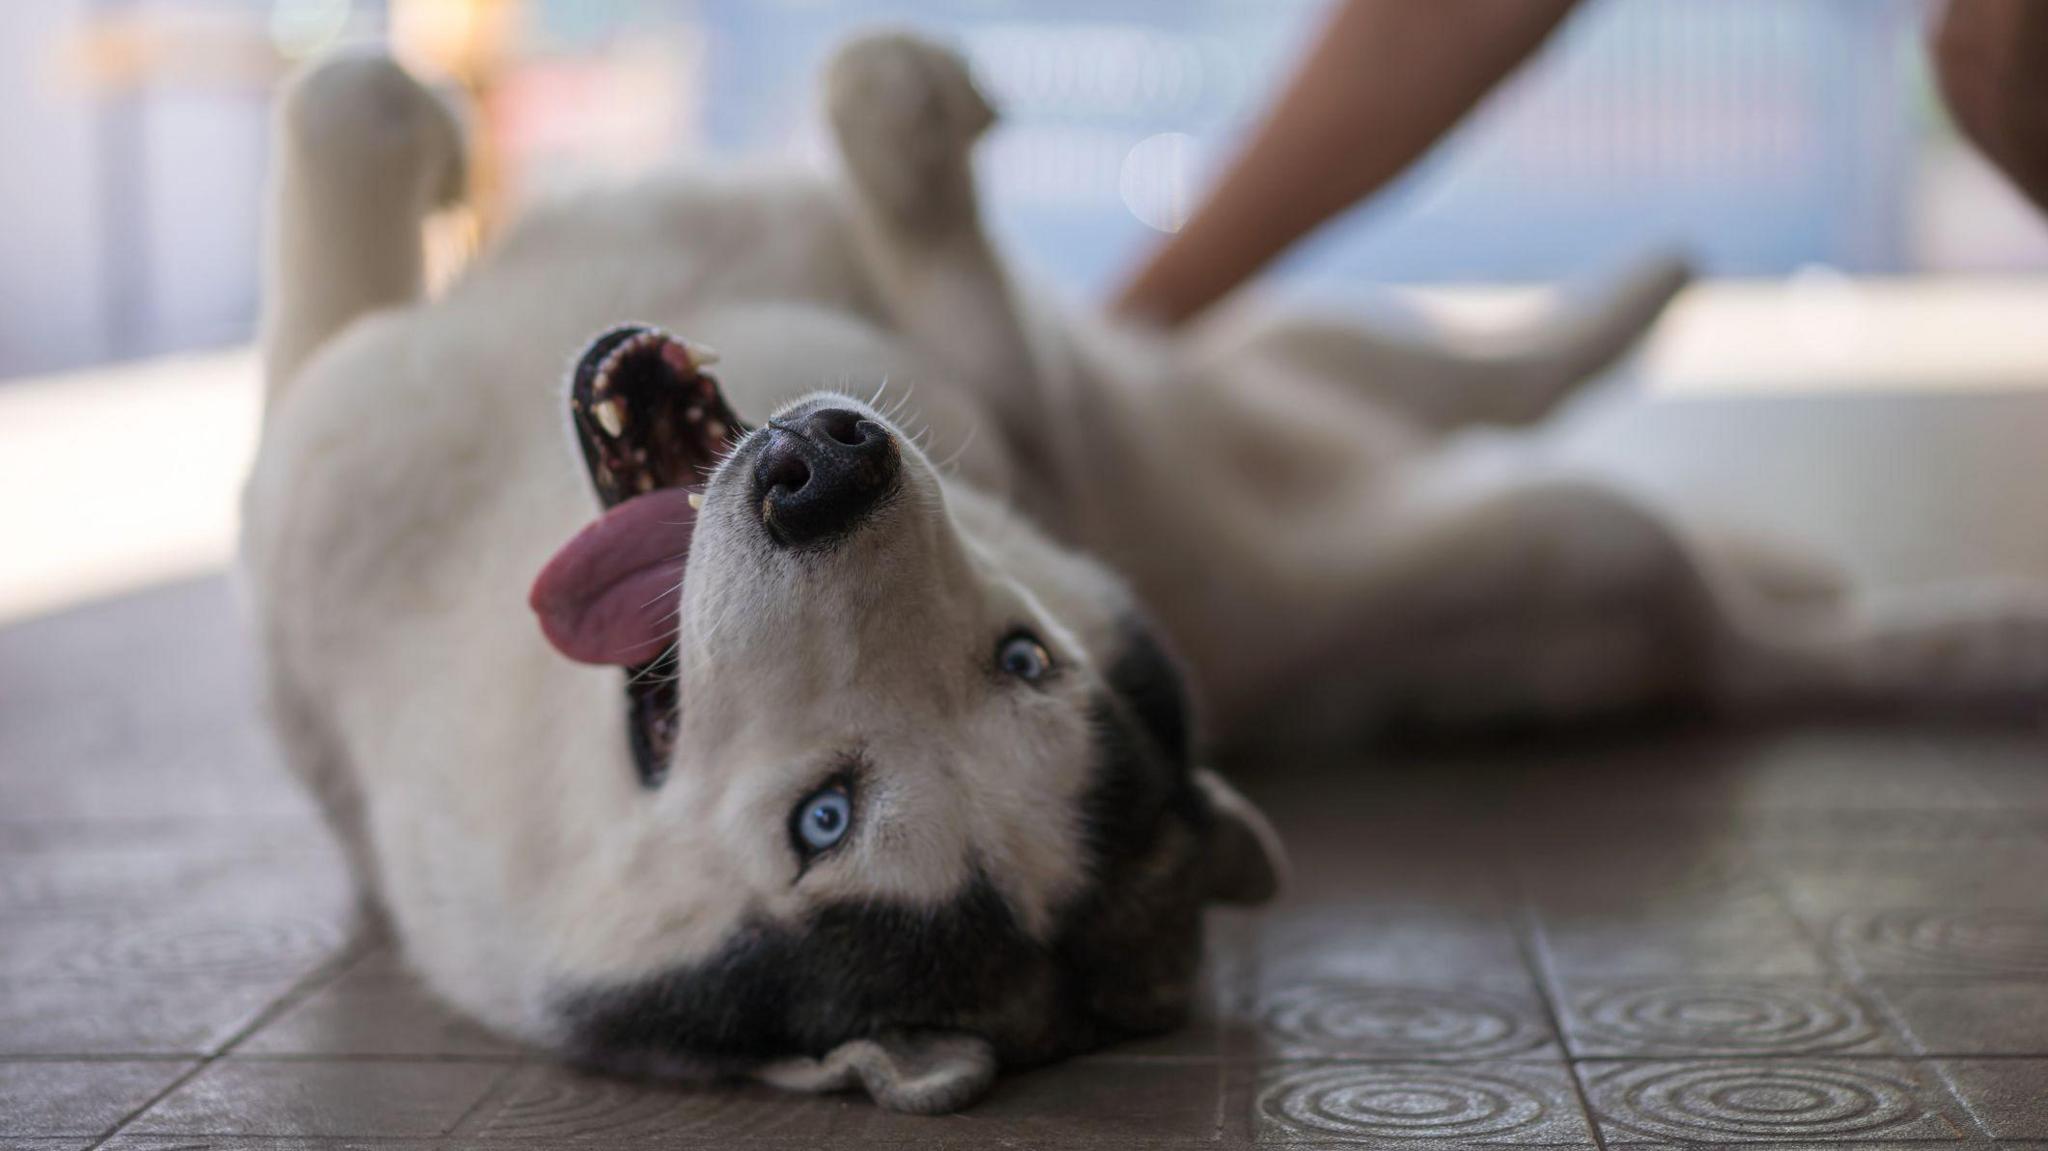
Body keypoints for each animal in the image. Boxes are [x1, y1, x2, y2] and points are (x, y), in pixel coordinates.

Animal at [243, 33, 2048, 1114]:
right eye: (823, 816)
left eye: (1021, 661)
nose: (828, 466)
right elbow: (342, 121)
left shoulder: (1022, 408)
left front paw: (895, 135)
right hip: (1429, 454)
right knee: (1491, 422)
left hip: (1514, 511)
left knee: (1651, 543)